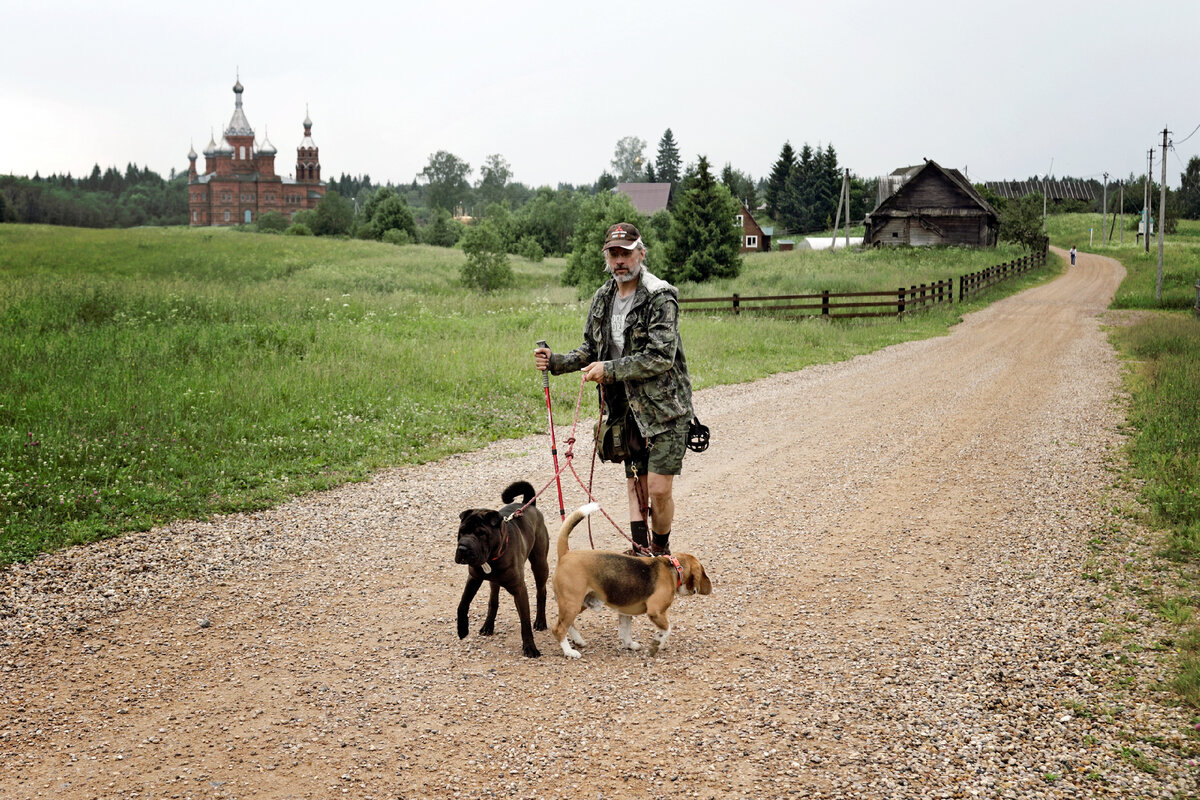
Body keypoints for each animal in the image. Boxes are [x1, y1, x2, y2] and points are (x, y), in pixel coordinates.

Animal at [451, 482, 549, 657]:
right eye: (461, 531)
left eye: (481, 534)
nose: (462, 548)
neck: (491, 559)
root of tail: (528, 504)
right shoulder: (473, 578)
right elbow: (462, 604)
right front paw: (462, 629)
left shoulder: (519, 589)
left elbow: (525, 621)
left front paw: (530, 647)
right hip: (494, 582)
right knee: (493, 601)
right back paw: (488, 626)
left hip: (540, 564)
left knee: (541, 592)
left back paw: (540, 621)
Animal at [552, 503, 710, 662]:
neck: (672, 567)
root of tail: (565, 555)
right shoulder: (656, 612)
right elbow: (667, 629)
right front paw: (656, 645)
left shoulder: (625, 611)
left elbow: (624, 631)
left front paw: (629, 644)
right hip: (572, 603)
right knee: (558, 629)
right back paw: (569, 652)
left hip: (579, 603)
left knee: (568, 624)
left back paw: (578, 641)